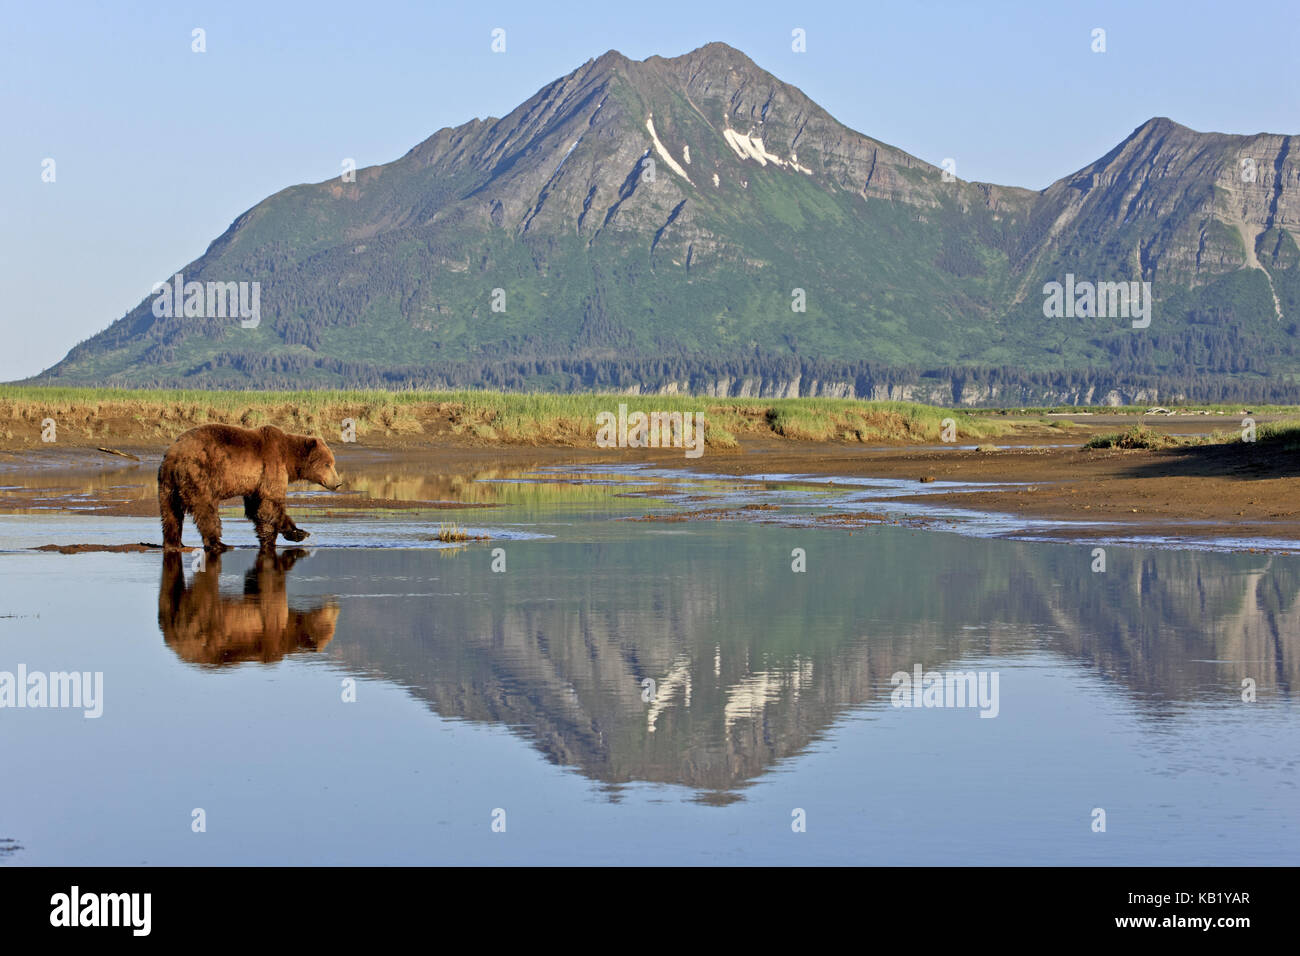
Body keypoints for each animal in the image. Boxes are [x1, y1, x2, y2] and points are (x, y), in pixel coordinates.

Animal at [157, 424, 343, 554]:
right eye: (328, 464)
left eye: (332, 463)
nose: (338, 483)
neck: (290, 460)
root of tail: (173, 455)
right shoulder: (271, 466)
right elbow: (270, 504)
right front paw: (271, 540)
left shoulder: (254, 484)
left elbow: (256, 507)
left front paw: (299, 532)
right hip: (199, 474)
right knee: (206, 510)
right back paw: (219, 544)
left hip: (167, 484)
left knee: (170, 513)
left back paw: (173, 543)